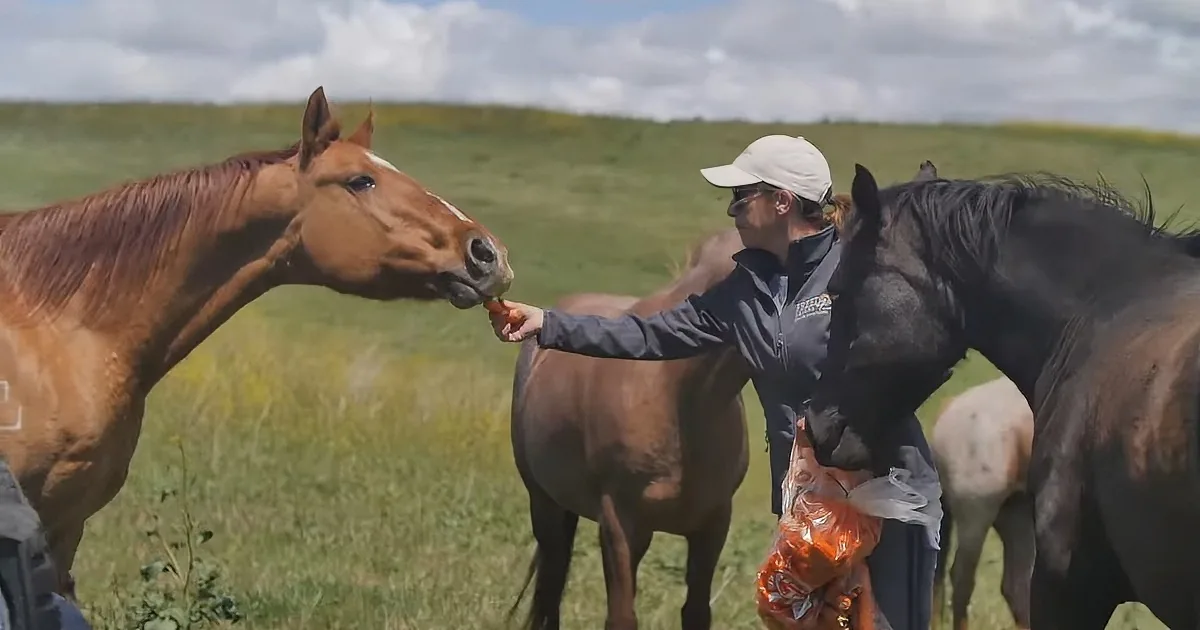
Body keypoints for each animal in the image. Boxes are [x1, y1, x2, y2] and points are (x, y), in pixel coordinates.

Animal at [507, 228, 752, 630]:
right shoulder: (621, 525)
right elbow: (621, 617)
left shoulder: (714, 524)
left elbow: (696, 612)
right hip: (544, 503)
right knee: (552, 583)